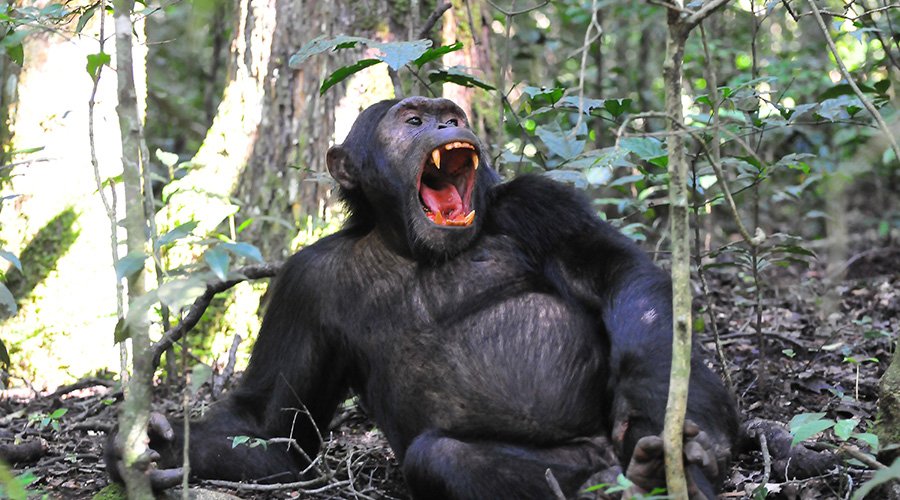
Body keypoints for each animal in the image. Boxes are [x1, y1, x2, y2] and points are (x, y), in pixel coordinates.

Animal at [107, 95, 740, 498]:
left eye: (450, 115)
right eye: (412, 121)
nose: (444, 126)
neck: (411, 246)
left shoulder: (541, 205)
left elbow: (620, 275)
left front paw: (671, 416)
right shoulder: (303, 284)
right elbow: (275, 431)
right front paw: (154, 446)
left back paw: (665, 468)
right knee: (441, 457)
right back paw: (628, 481)